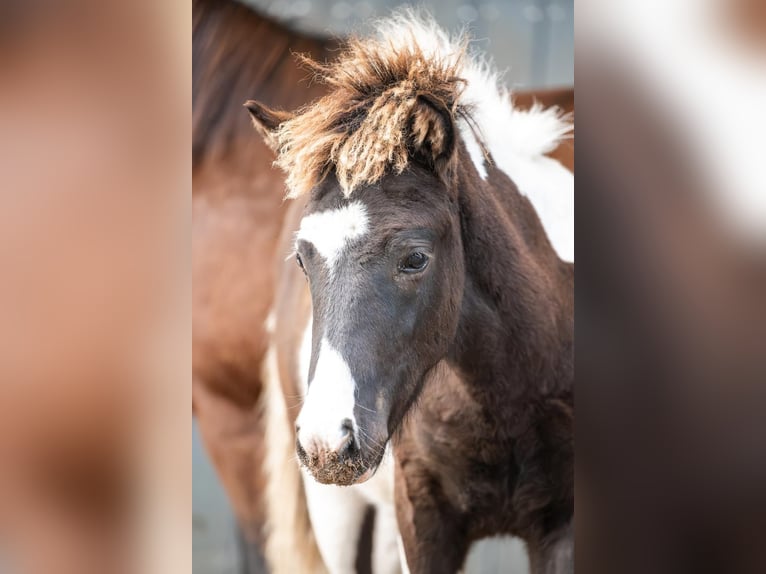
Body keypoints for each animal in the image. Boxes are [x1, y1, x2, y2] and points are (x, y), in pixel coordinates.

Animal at [247, 11, 574, 574]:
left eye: (415, 258)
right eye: (303, 258)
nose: (329, 440)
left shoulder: (562, 527)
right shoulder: (419, 516)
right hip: (336, 508)